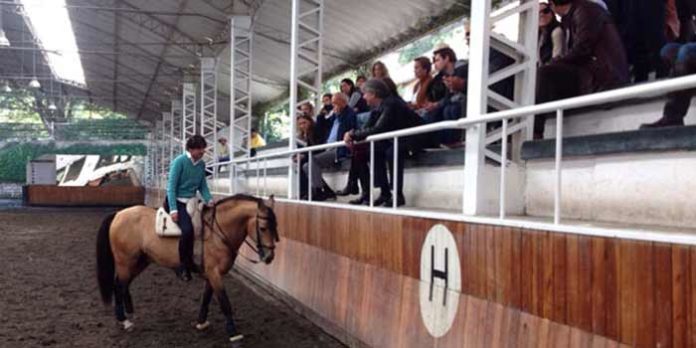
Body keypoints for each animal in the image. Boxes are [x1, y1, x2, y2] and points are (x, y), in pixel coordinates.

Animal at [96, 194, 280, 344]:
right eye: (263, 228)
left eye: (275, 226)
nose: (269, 257)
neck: (217, 232)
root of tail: (119, 214)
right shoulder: (215, 274)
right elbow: (224, 302)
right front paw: (234, 334)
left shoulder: (211, 274)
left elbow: (206, 298)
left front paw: (201, 322)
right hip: (125, 262)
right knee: (118, 286)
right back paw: (124, 321)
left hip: (139, 262)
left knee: (123, 286)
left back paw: (128, 314)